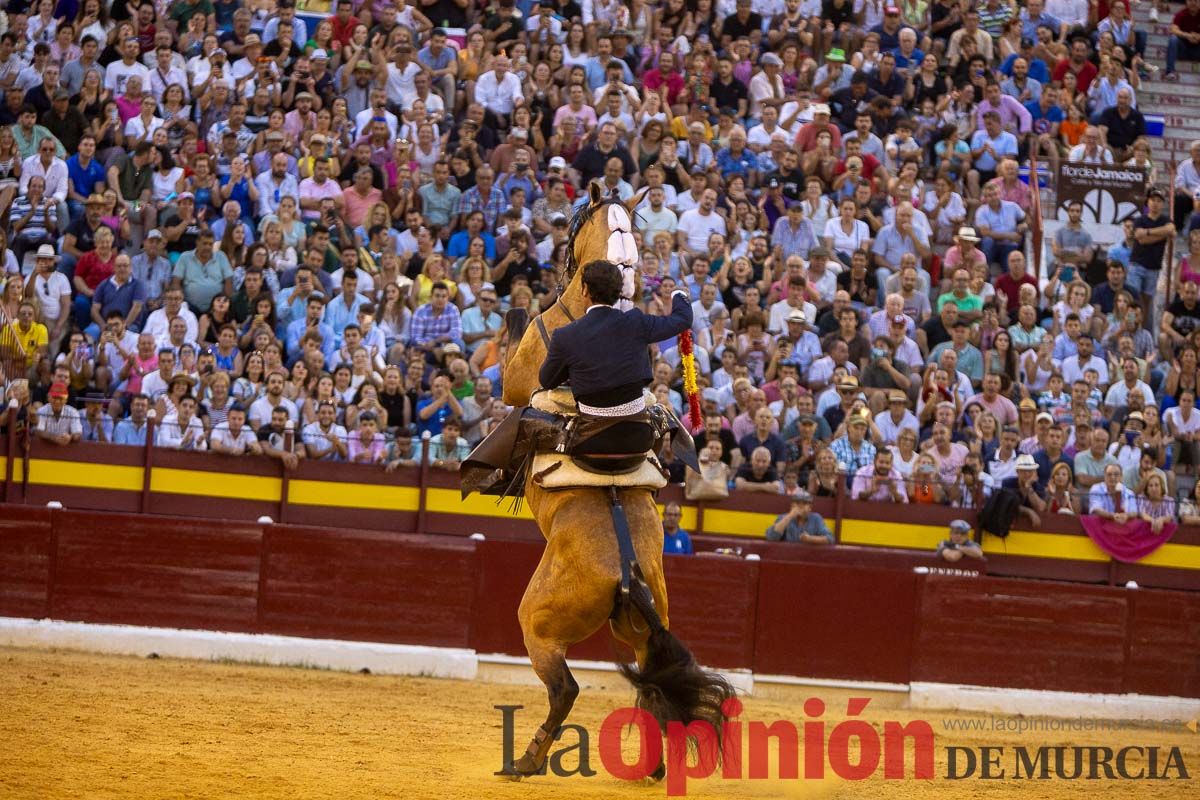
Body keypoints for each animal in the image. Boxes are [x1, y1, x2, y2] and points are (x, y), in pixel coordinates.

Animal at [496, 184, 729, 777]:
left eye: (577, 217)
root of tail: (629, 573)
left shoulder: (517, 381)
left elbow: (511, 353)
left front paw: (514, 309)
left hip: (538, 625)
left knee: (565, 689)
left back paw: (527, 759)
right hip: (643, 632)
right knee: (651, 687)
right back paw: (652, 766)